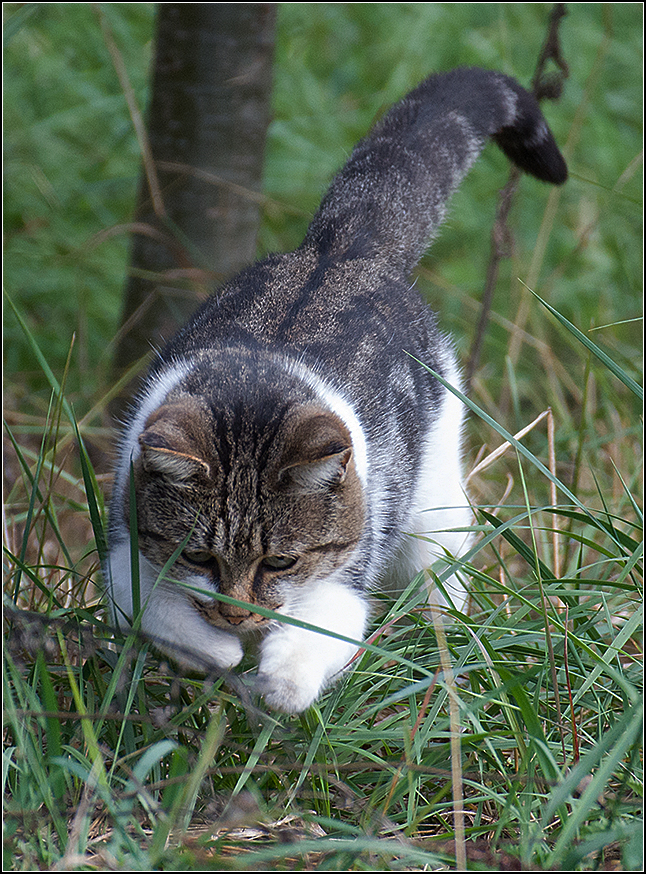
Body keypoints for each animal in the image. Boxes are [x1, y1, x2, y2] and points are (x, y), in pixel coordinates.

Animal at [105, 66, 568, 708]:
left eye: (281, 562)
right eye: (197, 555)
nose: (236, 616)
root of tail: (341, 247)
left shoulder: (347, 580)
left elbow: (319, 635)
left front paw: (280, 684)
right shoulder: (125, 556)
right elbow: (158, 606)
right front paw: (217, 649)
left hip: (433, 506)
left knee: (441, 578)